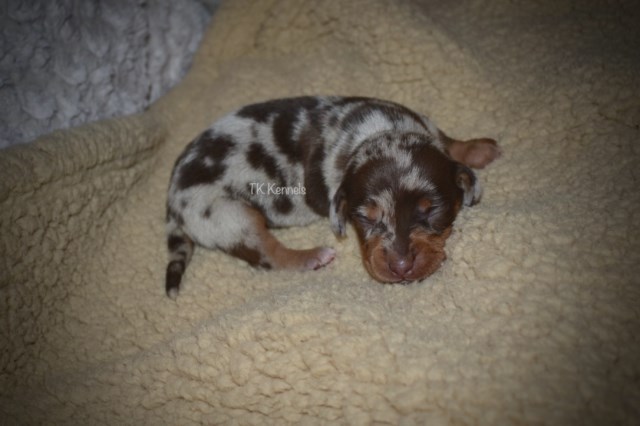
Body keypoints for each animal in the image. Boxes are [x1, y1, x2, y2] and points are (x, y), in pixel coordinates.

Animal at [165, 96, 500, 298]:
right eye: (365, 217)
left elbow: (447, 142)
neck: (379, 133)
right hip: (229, 215)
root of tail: (172, 197)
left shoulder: (423, 124)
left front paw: (478, 148)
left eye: (431, 210)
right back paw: (312, 256)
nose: (401, 268)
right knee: (269, 255)